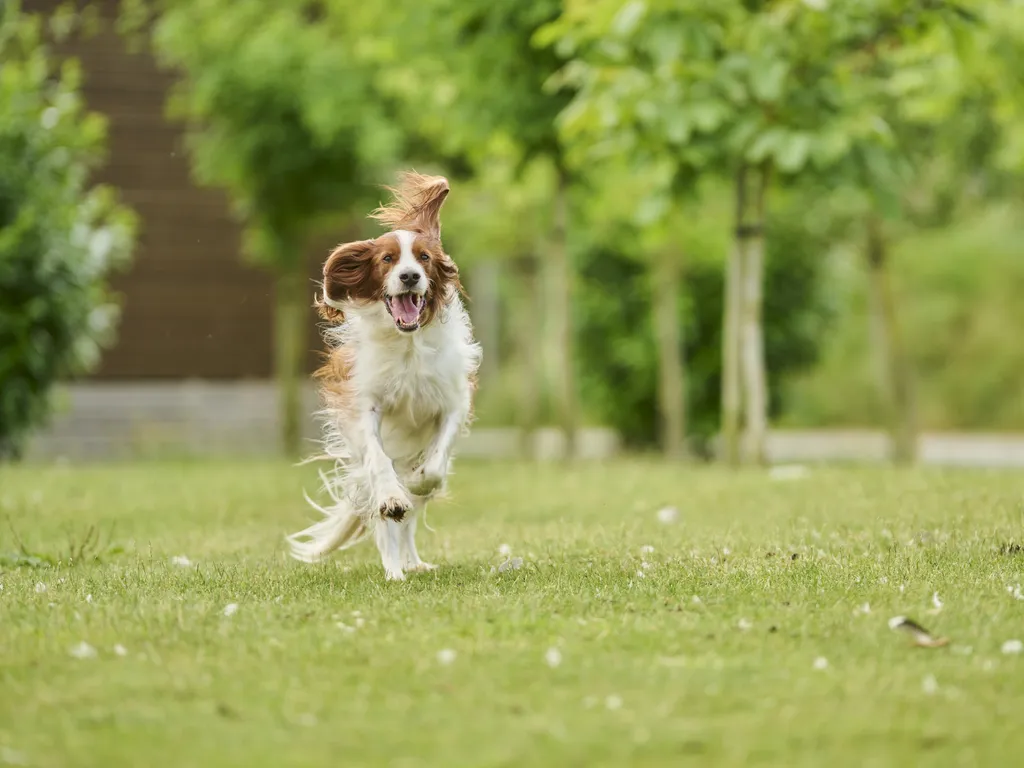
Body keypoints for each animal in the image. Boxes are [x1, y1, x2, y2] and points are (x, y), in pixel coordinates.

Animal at [286, 171, 481, 581]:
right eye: (388, 259)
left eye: (424, 257)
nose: (409, 276)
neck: (407, 344)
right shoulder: (364, 407)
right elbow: (379, 464)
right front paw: (393, 496)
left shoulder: (454, 403)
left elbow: (433, 468)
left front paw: (416, 482)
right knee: (387, 517)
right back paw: (394, 568)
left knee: (411, 515)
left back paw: (411, 560)